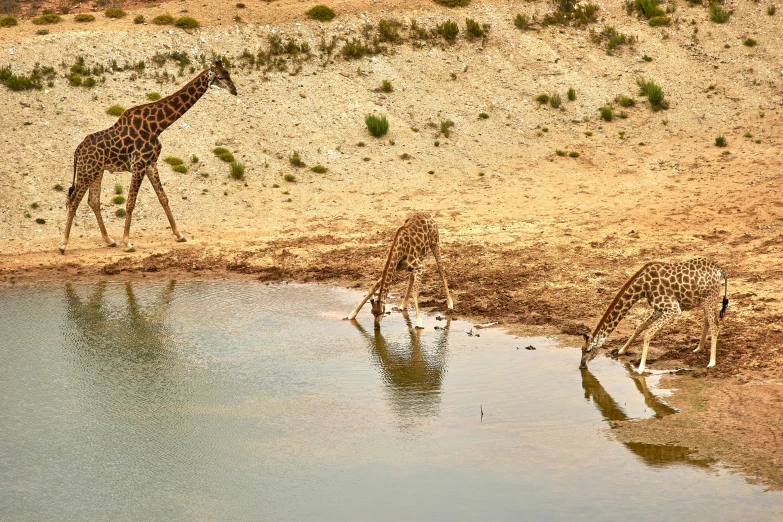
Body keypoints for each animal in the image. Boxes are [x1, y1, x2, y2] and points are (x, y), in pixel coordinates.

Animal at [58, 61, 237, 252]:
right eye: (220, 77)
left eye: (229, 73)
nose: (234, 90)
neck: (157, 126)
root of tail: (77, 150)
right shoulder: (139, 164)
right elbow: (130, 202)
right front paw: (127, 242)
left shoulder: (151, 163)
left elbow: (163, 198)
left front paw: (179, 234)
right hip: (87, 171)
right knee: (73, 201)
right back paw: (63, 244)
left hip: (97, 171)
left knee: (93, 201)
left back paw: (109, 240)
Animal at [580, 256, 732, 372]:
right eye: (581, 349)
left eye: (588, 350)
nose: (581, 366)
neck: (642, 287)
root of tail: (719, 270)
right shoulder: (659, 308)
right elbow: (640, 326)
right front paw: (622, 350)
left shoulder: (673, 309)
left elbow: (648, 333)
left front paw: (641, 368)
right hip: (705, 300)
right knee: (707, 321)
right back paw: (699, 348)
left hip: (710, 298)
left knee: (715, 326)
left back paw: (711, 362)